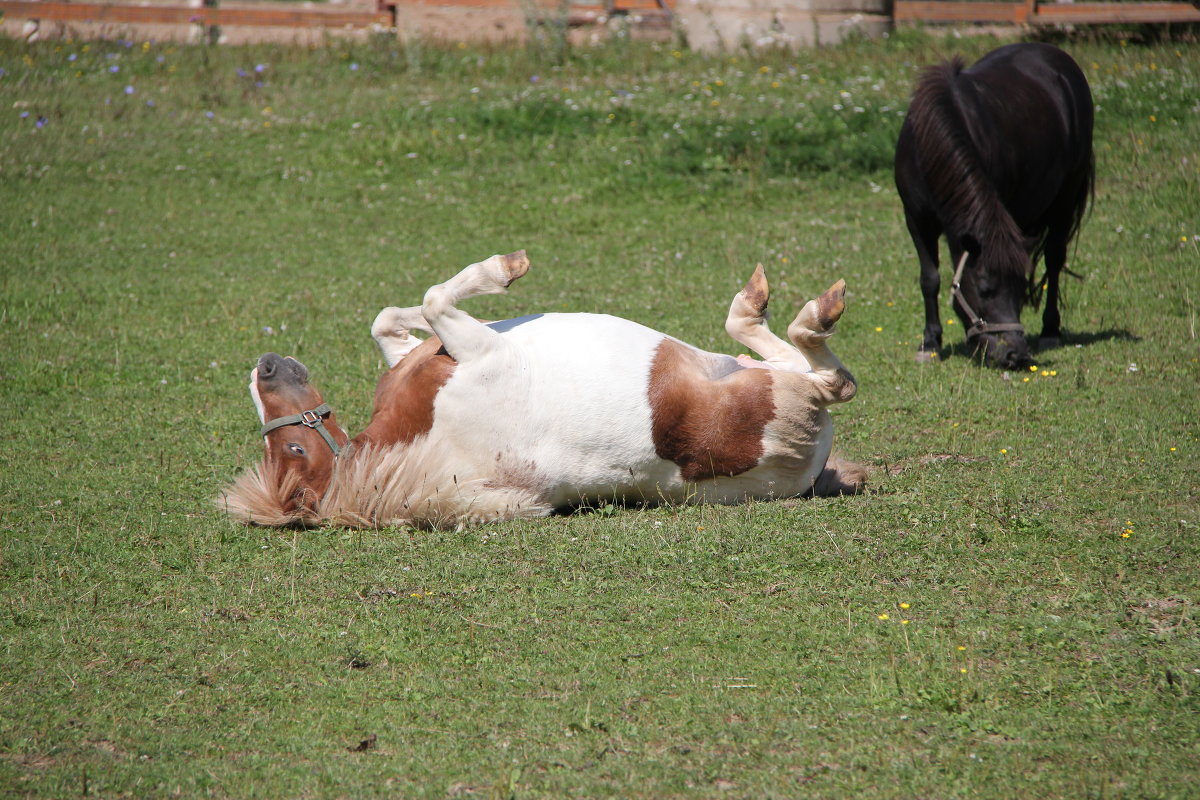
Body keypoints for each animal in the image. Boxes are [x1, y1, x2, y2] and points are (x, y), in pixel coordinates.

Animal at [220, 250, 868, 525]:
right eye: (293, 450)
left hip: (749, 371)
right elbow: (435, 298)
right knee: (827, 373)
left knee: (769, 348)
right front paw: (505, 268)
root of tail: (808, 467)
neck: (418, 441)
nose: (264, 367)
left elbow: (390, 318)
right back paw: (810, 308)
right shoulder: (477, 347)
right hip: (786, 392)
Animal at [892, 42, 1099, 367]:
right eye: (985, 290)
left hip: (1065, 199)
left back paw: (1050, 329)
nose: (1015, 355)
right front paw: (930, 343)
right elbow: (930, 278)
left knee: (1054, 259)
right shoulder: (916, 219)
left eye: (1020, 290)